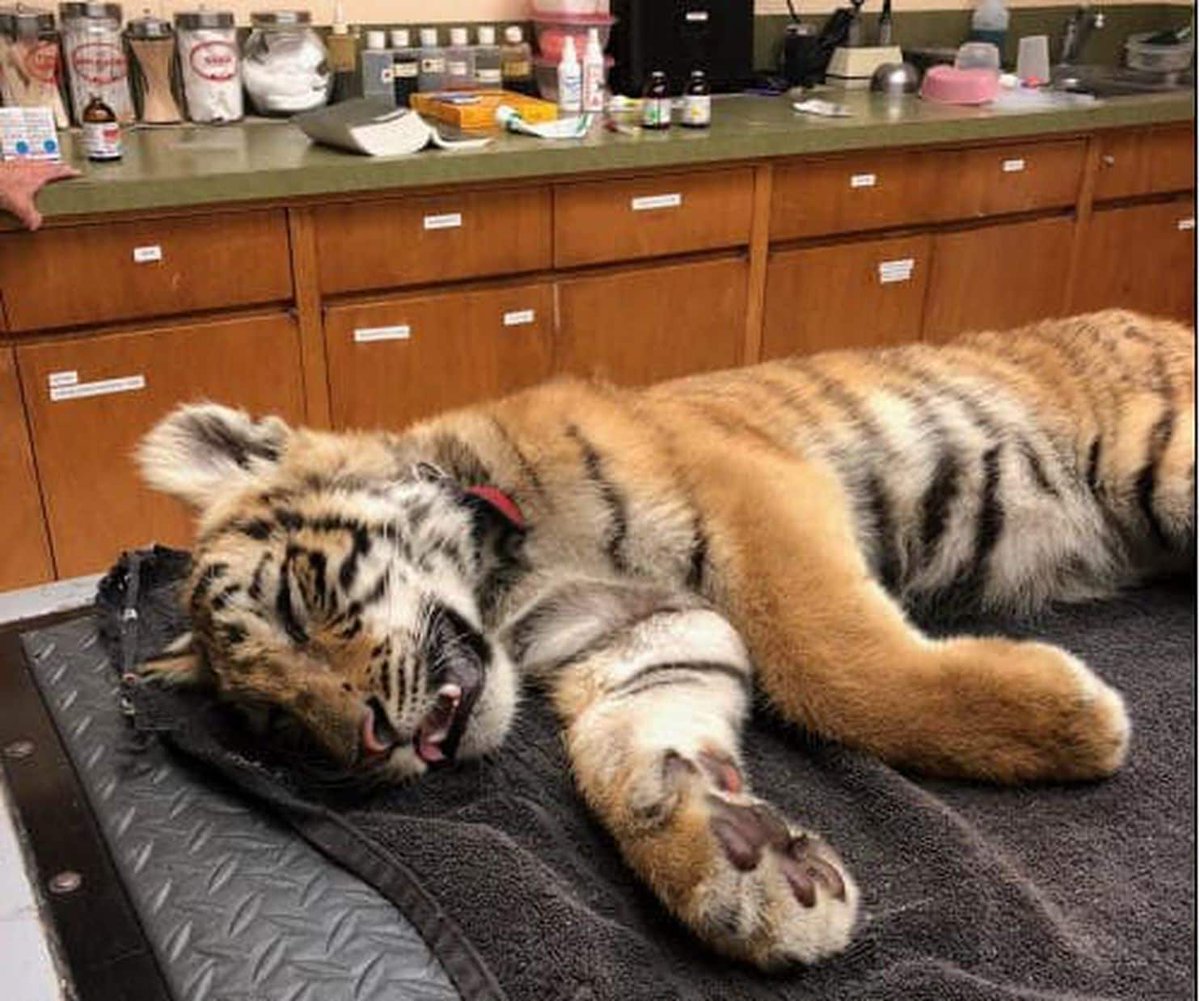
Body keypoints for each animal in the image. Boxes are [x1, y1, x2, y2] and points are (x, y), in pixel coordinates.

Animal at [135, 308, 1194, 970]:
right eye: (277, 725)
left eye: (296, 604)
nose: (368, 742)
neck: (510, 580)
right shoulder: (641, 634)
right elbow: (629, 750)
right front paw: (738, 862)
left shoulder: (756, 498)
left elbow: (831, 662)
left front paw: (1071, 720)